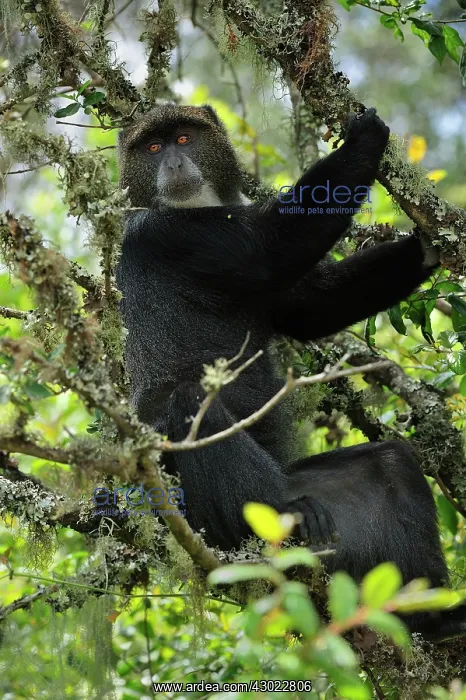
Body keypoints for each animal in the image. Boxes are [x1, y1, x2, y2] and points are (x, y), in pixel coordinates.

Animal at [116, 103, 466, 642]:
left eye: (184, 138)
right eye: (152, 147)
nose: (172, 162)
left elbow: (308, 309)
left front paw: (428, 242)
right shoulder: (165, 234)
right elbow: (267, 251)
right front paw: (364, 137)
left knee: (390, 461)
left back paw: (431, 617)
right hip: (185, 500)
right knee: (187, 401)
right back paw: (281, 518)